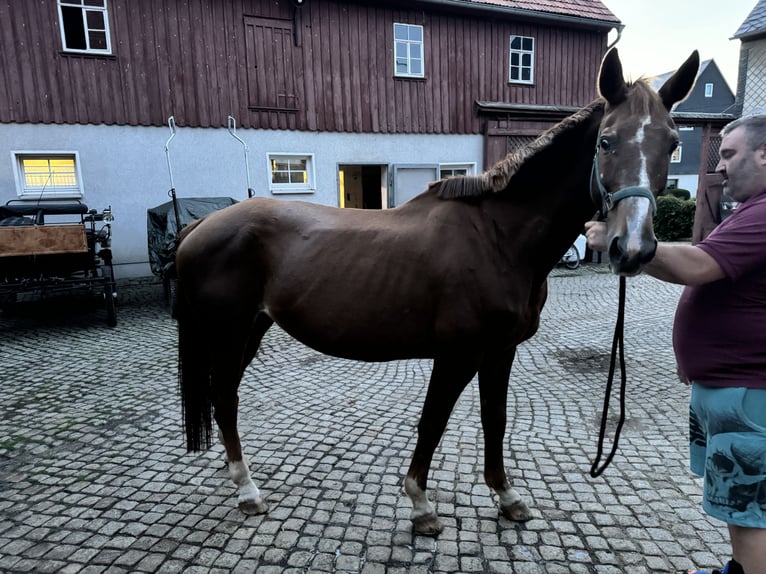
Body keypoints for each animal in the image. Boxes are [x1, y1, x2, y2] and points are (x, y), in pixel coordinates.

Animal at [176, 48, 704, 536]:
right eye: (606, 142)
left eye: (674, 143)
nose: (632, 248)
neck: (499, 237)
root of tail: (202, 224)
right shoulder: (457, 353)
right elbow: (434, 421)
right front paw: (421, 505)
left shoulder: (501, 351)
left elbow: (495, 418)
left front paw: (507, 497)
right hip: (229, 332)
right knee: (225, 397)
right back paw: (248, 490)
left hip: (251, 329)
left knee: (223, 396)